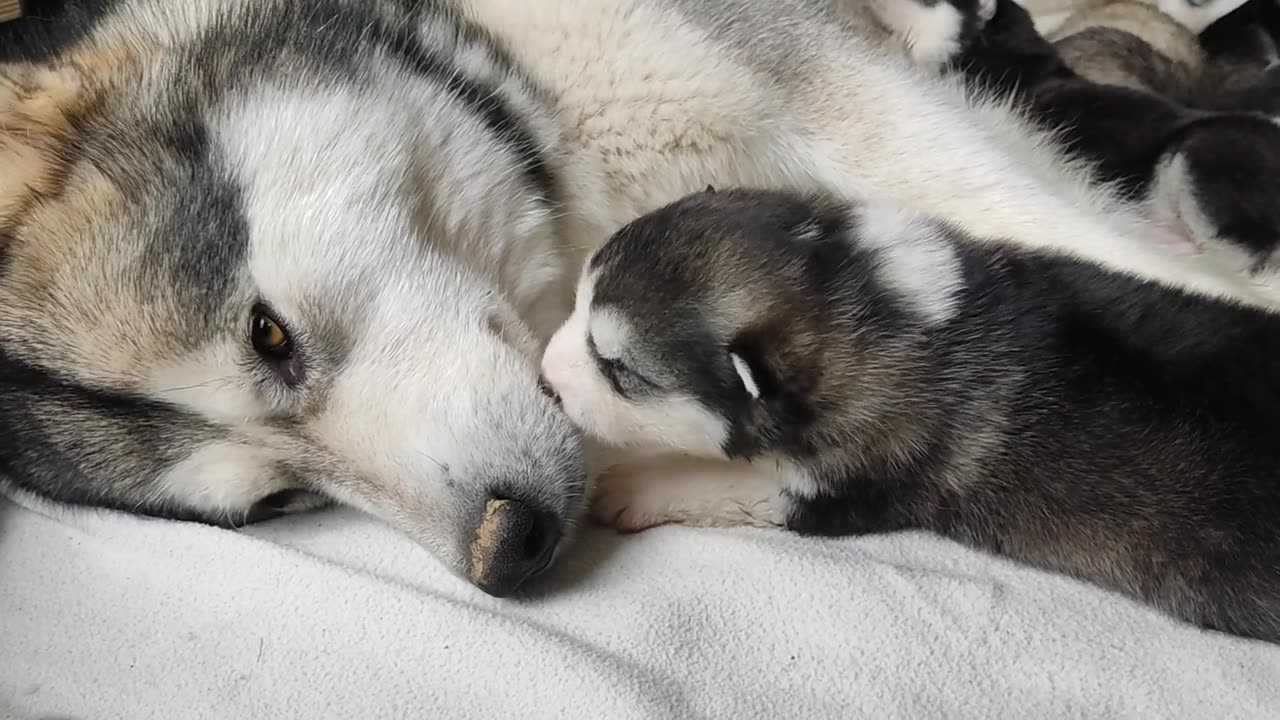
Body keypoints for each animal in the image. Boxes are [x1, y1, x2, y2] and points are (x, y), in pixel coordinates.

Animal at [540, 184, 1280, 638]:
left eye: (620, 370)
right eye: (575, 304)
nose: (544, 380)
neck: (865, 296)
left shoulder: (857, 479)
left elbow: (724, 477)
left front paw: (631, 486)